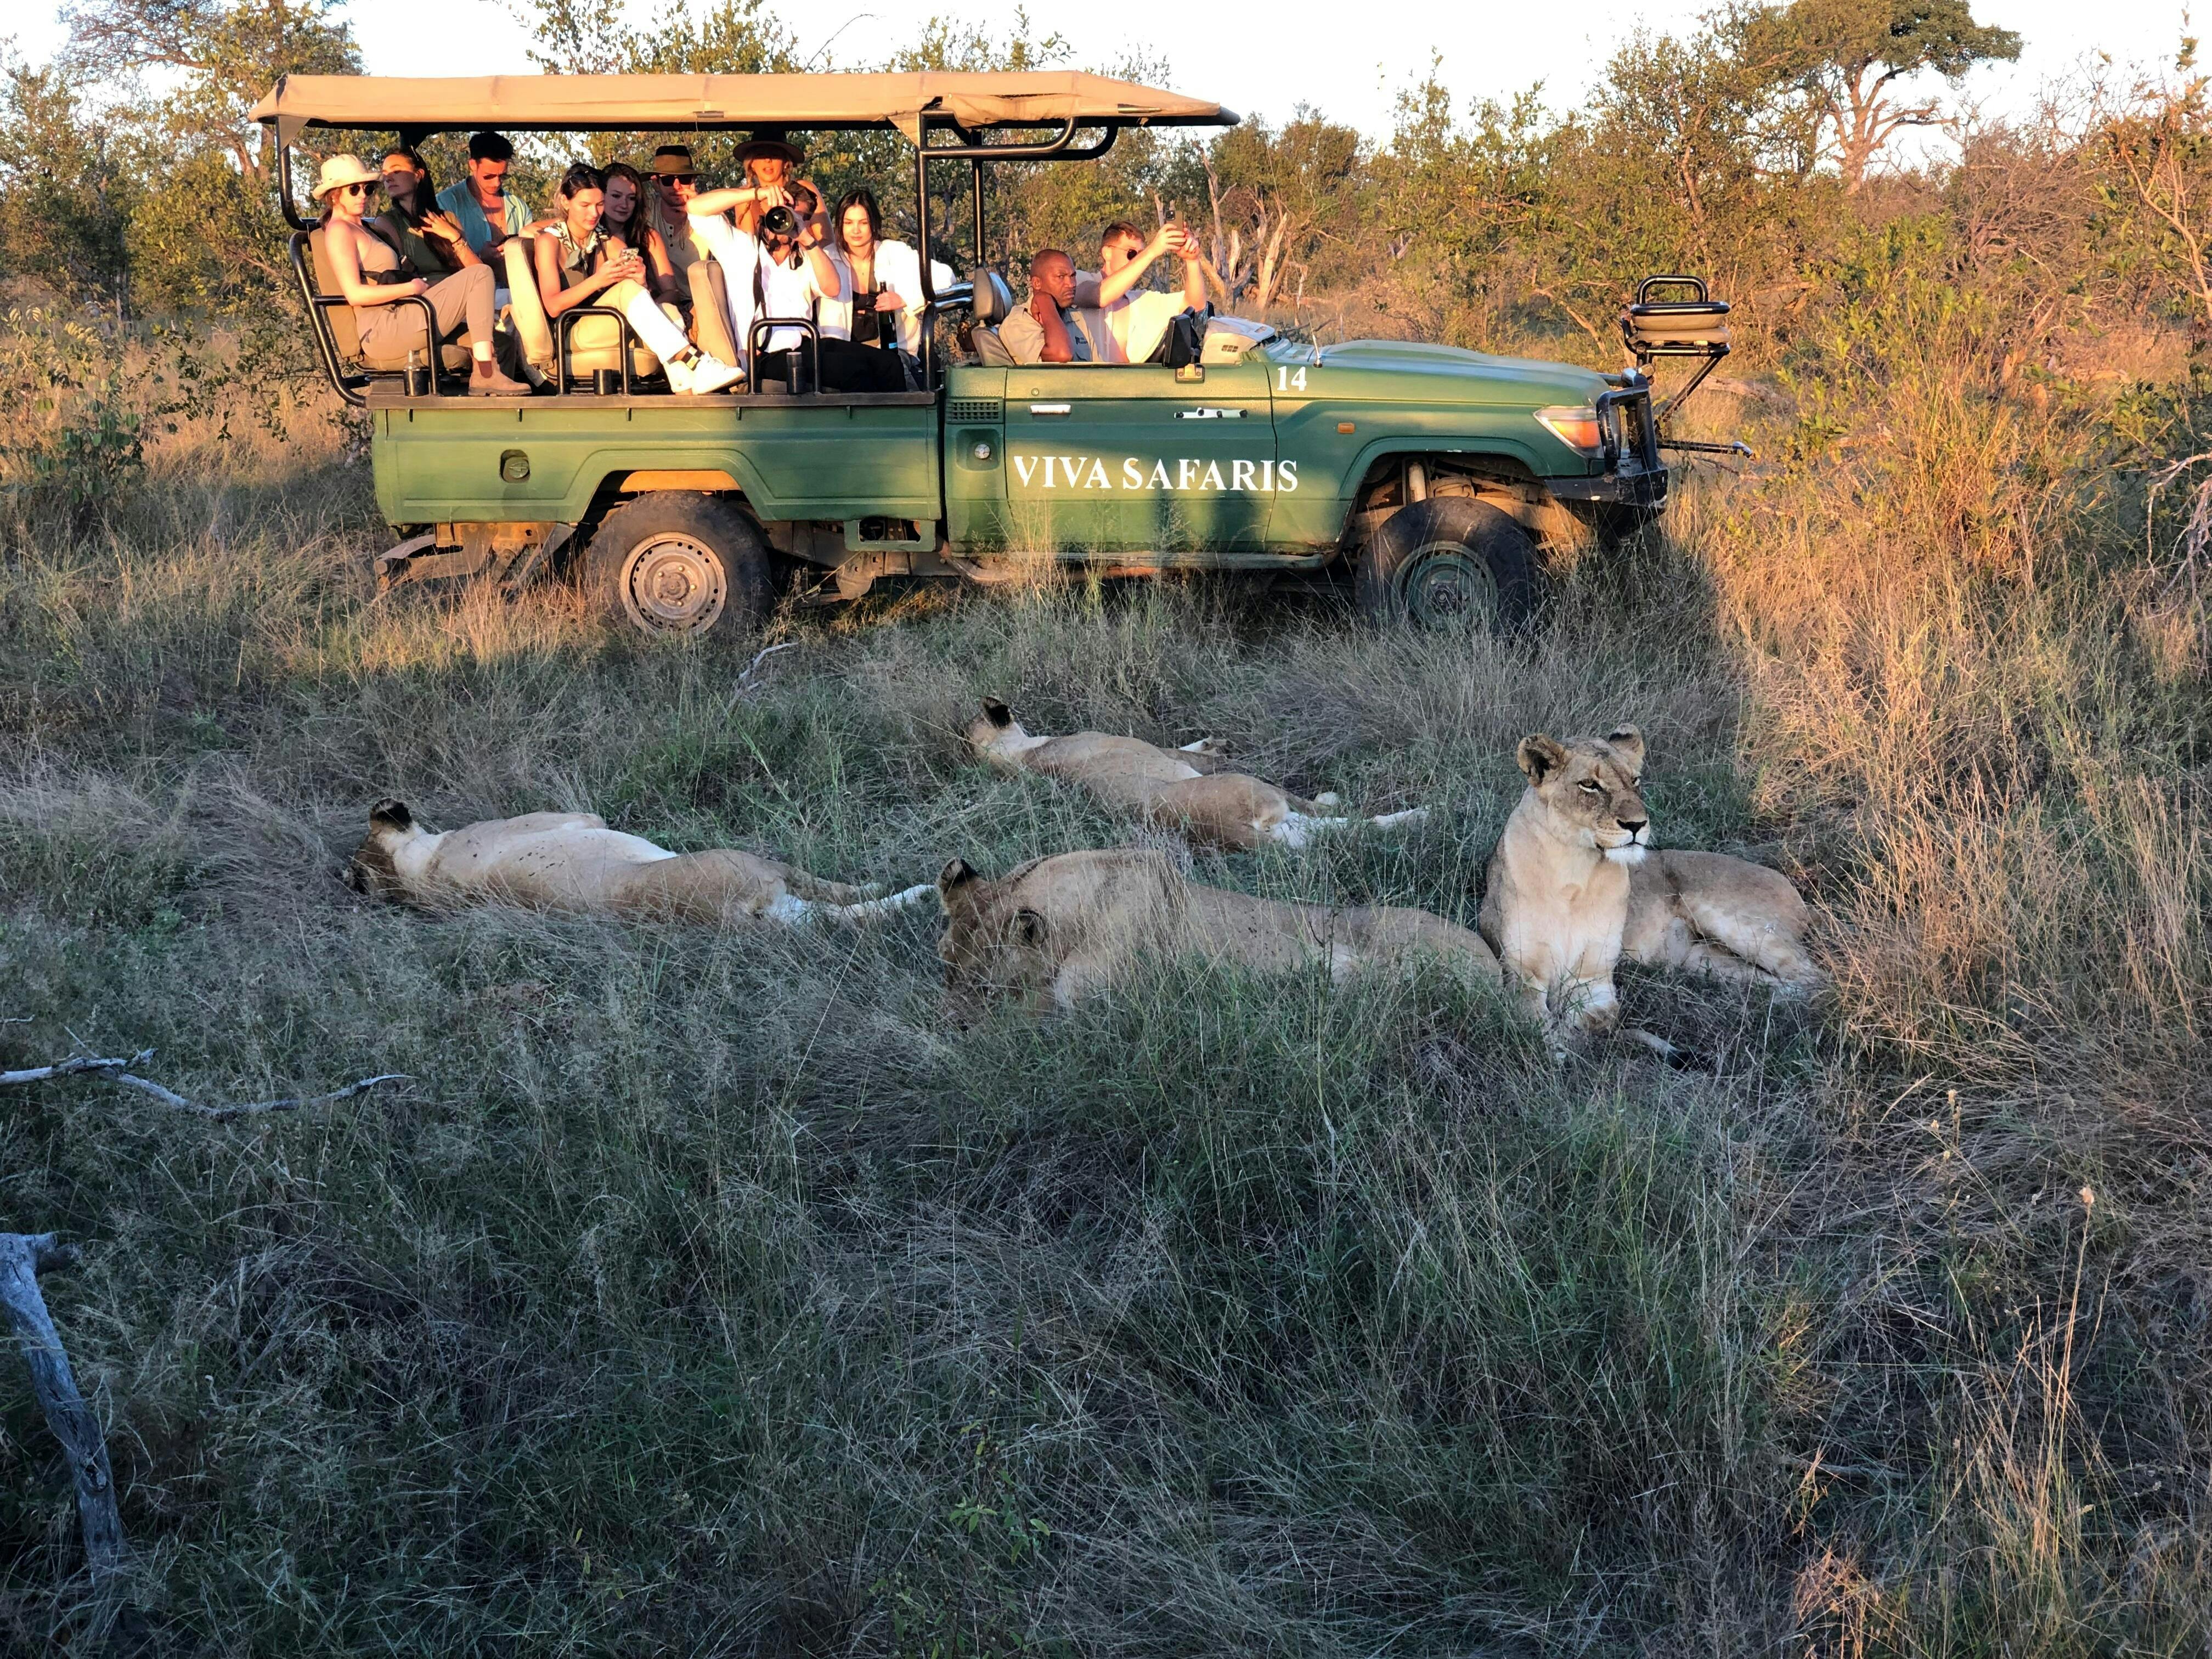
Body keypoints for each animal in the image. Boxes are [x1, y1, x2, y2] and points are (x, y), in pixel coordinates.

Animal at [965, 698, 1427, 852]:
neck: (1024, 759)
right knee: (1331, 817)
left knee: (1344, 831)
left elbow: (1188, 748)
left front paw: (1209, 741)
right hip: (1264, 794)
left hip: (1287, 833)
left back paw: (1415, 819)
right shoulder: (1152, 749)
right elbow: (1183, 752)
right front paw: (1215, 748)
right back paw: (1417, 815)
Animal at [1477, 726, 1821, 1056]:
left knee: (1813, 978)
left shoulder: (1595, 979)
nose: (1637, 825)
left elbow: (1593, 1020)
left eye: (1635, 781)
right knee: (1772, 981)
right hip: (1700, 960)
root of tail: (1793, 890)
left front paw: (1573, 1045)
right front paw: (1556, 1049)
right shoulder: (1522, 973)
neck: (1576, 869)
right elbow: (1536, 1022)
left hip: (1732, 920)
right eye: (1589, 785)